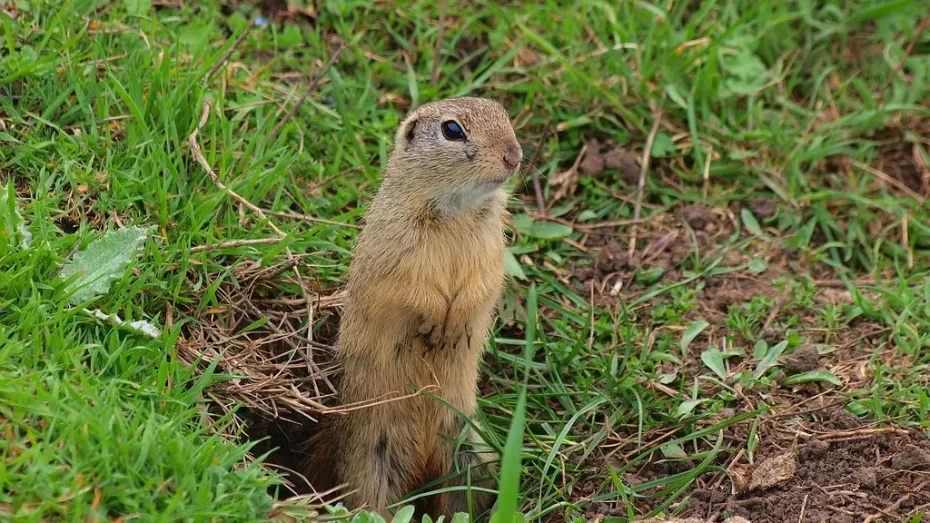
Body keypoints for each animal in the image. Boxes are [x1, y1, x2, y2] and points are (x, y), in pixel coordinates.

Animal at [304, 97, 520, 520]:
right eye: (452, 130)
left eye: (503, 114)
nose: (514, 155)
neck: (456, 212)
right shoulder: (399, 247)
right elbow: (413, 290)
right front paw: (437, 321)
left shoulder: (491, 247)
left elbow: (483, 284)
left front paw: (456, 324)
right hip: (371, 460)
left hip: (469, 453)